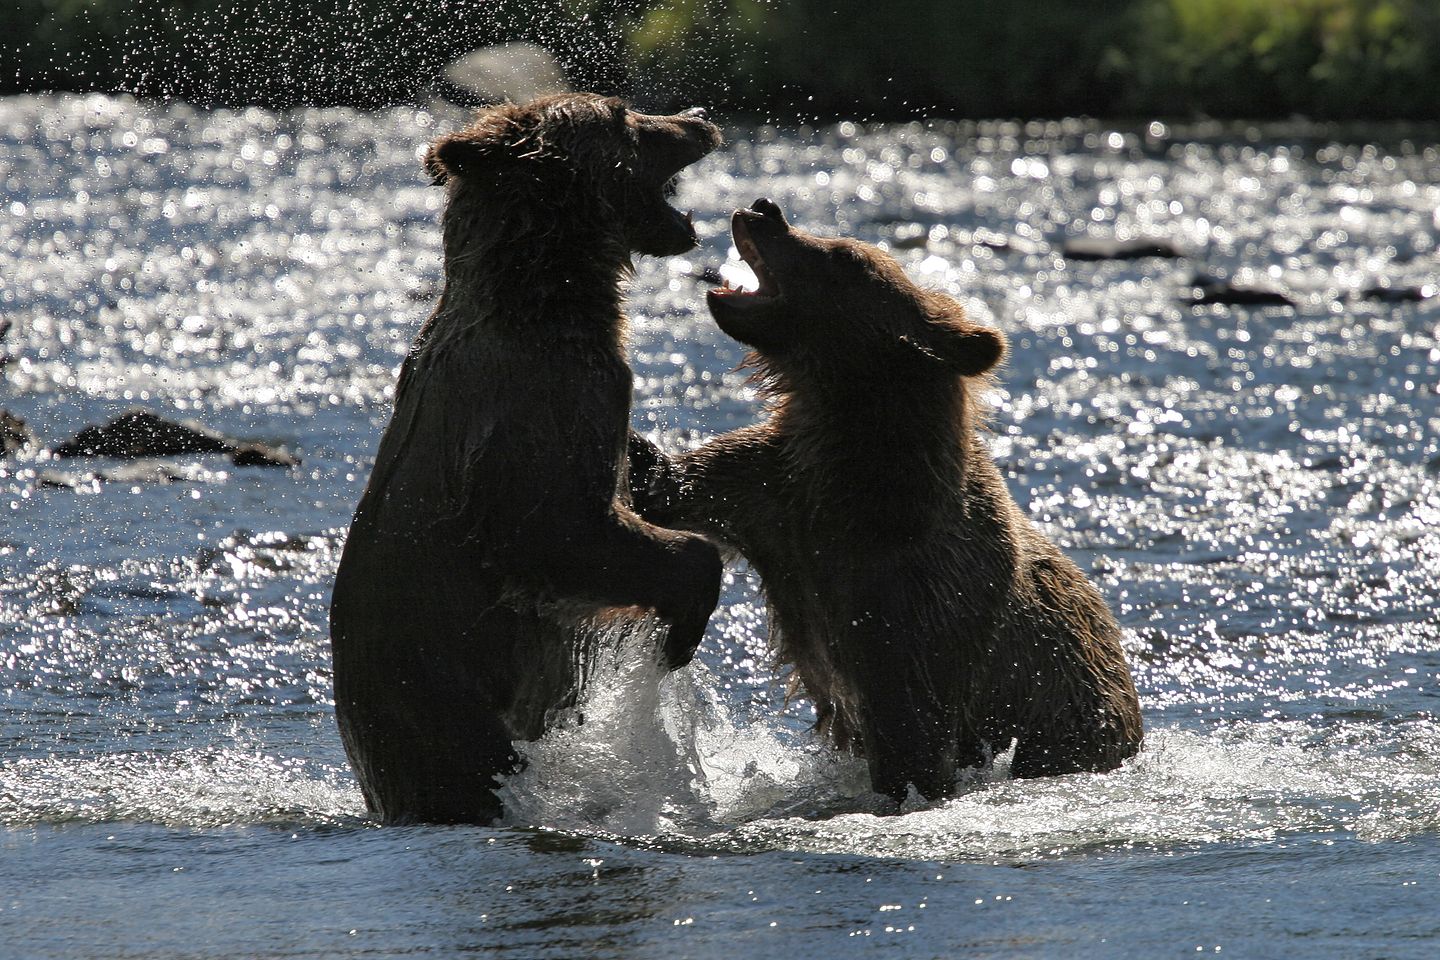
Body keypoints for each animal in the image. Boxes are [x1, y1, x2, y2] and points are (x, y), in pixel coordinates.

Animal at [331, 92, 725, 829]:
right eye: (624, 116)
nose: (699, 117)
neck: (546, 294)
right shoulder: (539, 409)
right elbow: (558, 531)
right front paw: (682, 624)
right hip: (443, 715)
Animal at [636, 197, 1140, 805]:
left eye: (845, 255)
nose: (764, 209)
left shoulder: (919, 602)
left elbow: (911, 728)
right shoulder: (779, 495)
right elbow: (686, 486)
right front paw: (636, 457)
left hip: (1072, 721)